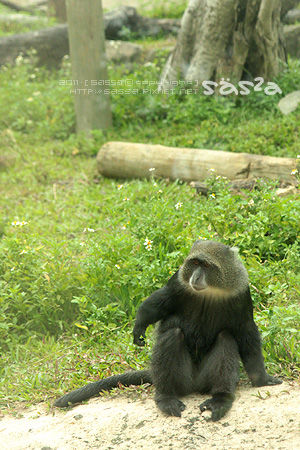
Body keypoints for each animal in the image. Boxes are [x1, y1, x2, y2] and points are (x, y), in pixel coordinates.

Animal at [55, 241, 282, 420]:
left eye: (207, 265)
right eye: (195, 264)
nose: (196, 277)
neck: (210, 291)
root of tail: (194, 385)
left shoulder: (241, 292)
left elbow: (246, 332)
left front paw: (262, 379)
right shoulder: (178, 281)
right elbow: (158, 304)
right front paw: (139, 327)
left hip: (205, 378)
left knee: (226, 338)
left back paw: (220, 399)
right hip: (181, 377)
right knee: (173, 335)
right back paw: (166, 397)